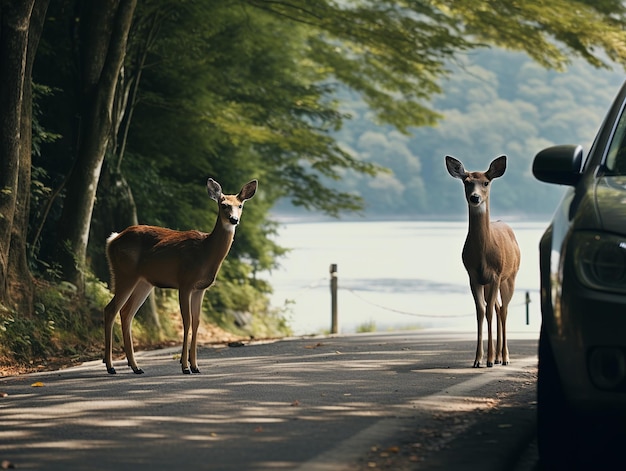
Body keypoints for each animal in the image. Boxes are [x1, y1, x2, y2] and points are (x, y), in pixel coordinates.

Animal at [103, 178, 258, 376]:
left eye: (240, 205)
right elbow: (187, 321)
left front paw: (195, 365)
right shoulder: (185, 282)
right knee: (111, 309)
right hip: (125, 273)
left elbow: (197, 322)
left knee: (126, 312)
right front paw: (185, 366)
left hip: (144, 281)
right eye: (223, 205)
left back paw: (135, 366)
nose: (234, 219)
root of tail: (112, 240)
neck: (205, 252)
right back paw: (111, 366)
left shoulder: (200, 289)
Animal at [446, 157, 520, 370]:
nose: (475, 197)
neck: (483, 255)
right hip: (490, 283)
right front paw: (478, 359)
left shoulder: (495, 274)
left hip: (510, 277)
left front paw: (488, 360)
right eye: (467, 182)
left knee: (503, 310)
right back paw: (498, 357)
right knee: (496, 307)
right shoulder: (473, 276)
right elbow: (480, 311)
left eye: (486, 182)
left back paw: (504, 357)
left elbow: (488, 312)